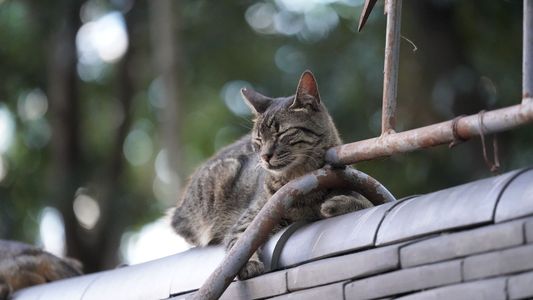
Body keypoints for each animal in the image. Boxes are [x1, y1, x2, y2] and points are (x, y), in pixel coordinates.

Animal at [170, 70, 370, 278]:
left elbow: (363, 202)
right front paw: (248, 263)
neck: (299, 178)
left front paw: (337, 204)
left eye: (282, 133)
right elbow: (240, 244)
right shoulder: (252, 221)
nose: (265, 156)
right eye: (259, 139)